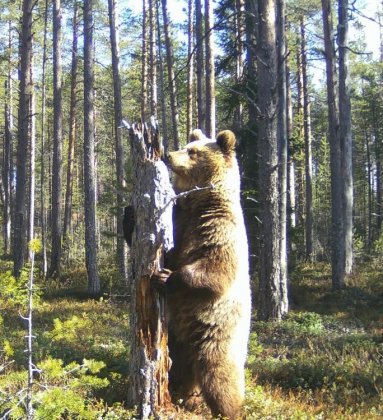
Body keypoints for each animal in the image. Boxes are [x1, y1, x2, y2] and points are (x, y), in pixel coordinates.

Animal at [156, 130, 252, 418]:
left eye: (193, 152)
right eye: (187, 145)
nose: (168, 154)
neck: (198, 202)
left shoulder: (220, 230)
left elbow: (215, 270)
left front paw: (167, 278)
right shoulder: (179, 222)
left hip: (219, 334)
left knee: (219, 375)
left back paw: (229, 409)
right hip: (178, 337)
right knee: (180, 368)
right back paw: (184, 397)